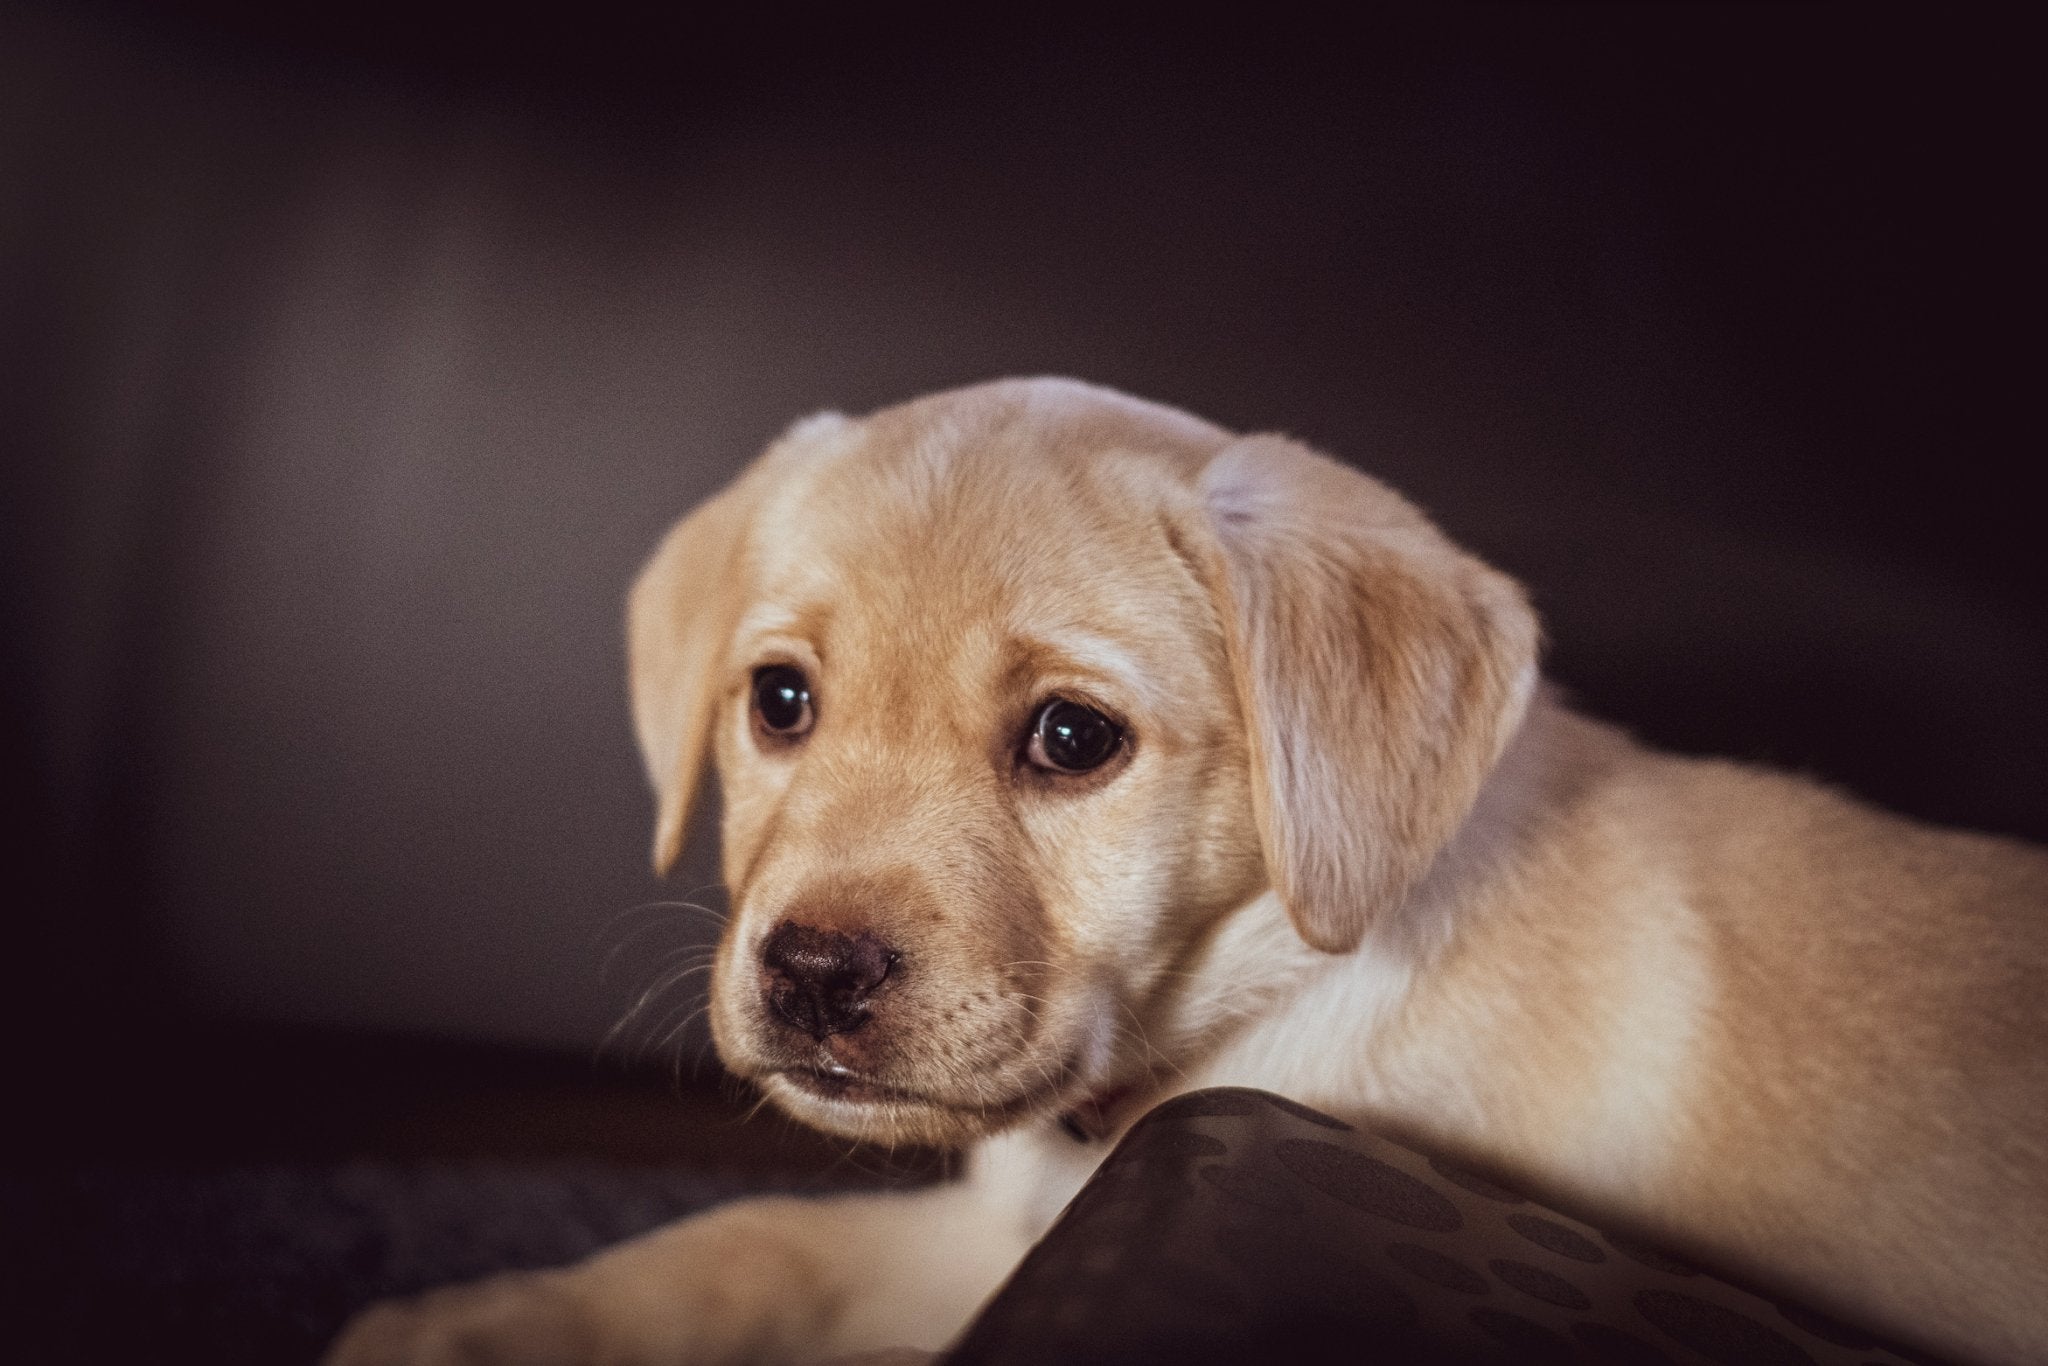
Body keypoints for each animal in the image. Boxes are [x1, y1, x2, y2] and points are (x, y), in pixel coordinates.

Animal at [327, 376, 2039, 1366]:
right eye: (782, 701)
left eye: (1072, 737)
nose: (808, 973)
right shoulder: (991, 1238)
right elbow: (748, 1239)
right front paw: (476, 1323)